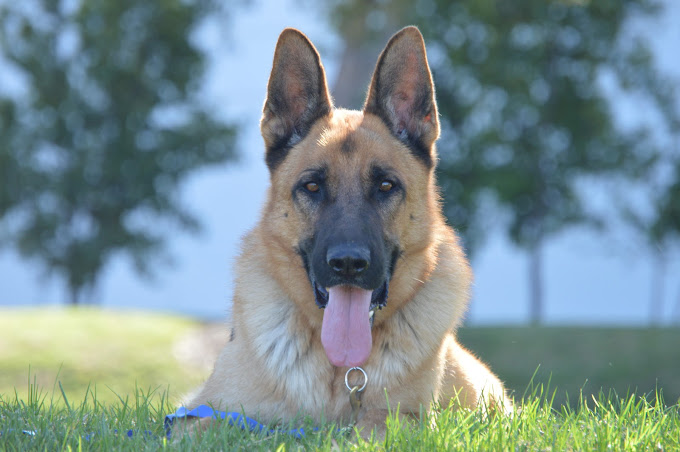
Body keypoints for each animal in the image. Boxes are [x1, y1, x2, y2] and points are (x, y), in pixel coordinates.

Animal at [186, 26, 510, 436]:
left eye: (386, 186)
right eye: (312, 187)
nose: (348, 264)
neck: (339, 370)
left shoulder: (409, 418)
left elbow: (374, 425)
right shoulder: (208, 410)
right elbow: (200, 424)